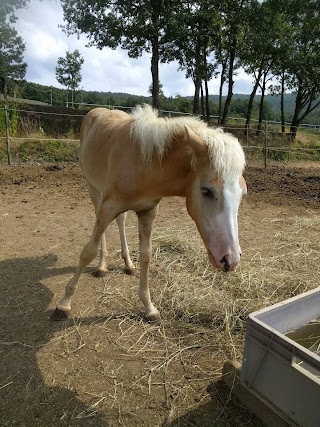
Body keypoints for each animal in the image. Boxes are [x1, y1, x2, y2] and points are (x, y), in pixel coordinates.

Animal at [52, 105, 248, 322]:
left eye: (243, 194)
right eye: (207, 191)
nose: (230, 259)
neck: (145, 163)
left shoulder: (148, 212)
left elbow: (146, 255)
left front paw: (149, 308)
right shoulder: (108, 206)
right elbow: (88, 251)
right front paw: (64, 304)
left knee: (121, 220)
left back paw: (128, 264)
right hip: (93, 188)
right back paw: (102, 266)